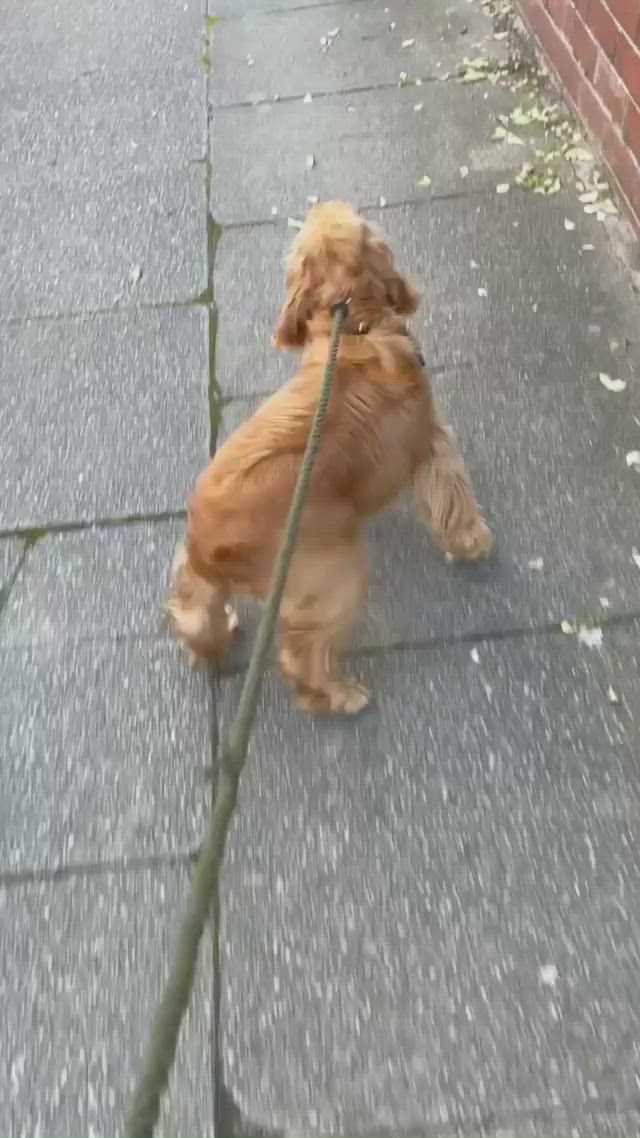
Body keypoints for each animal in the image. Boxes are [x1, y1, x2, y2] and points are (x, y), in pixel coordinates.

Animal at [167, 196, 489, 710]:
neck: (353, 321)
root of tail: (208, 545)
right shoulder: (432, 442)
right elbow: (452, 495)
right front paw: (472, 540)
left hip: (205, 577)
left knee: (195, 611)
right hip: (333, 577)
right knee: (302, 656)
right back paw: (340, 696)